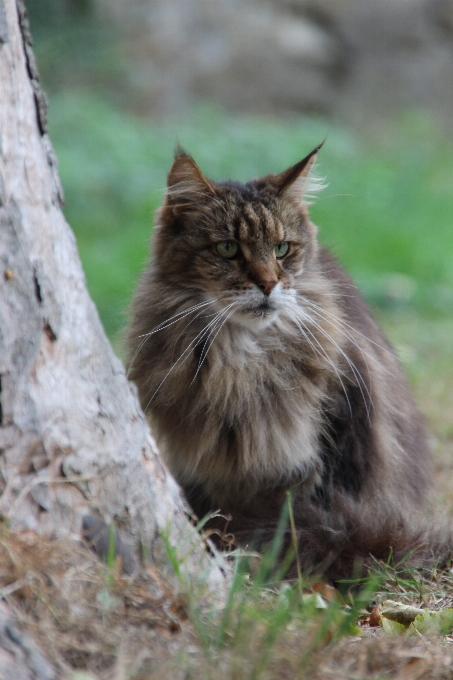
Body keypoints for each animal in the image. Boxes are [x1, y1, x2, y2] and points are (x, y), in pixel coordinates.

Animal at [125, 143, 450, 580]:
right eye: (227, 249)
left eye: (282, 249)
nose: (267, 284)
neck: (242, 360)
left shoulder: (333, 436)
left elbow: (305, 513)